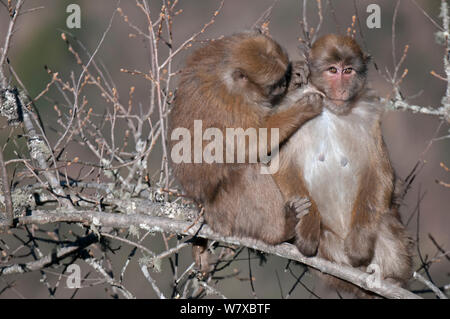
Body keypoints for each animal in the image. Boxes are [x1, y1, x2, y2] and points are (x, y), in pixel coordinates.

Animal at [167, 33, 322, 272]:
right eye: (274, 85)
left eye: (280, 81)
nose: (283, 85)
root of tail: (203, 208)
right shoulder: (231, 104)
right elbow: (250, 144)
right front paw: (303, 109)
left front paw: (296, 75)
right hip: (225, 212)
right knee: (247, 172)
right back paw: (280, 230)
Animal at [272, 33, 414, 296]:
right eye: (332, 70)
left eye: (348, 70)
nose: (342, 87)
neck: (331, 109)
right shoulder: (292, 108)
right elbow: (281, 168)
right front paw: (306, 230)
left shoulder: (369, 115)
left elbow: (379, 171)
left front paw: (359, 246)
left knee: (383, 220)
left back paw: (392, 281)